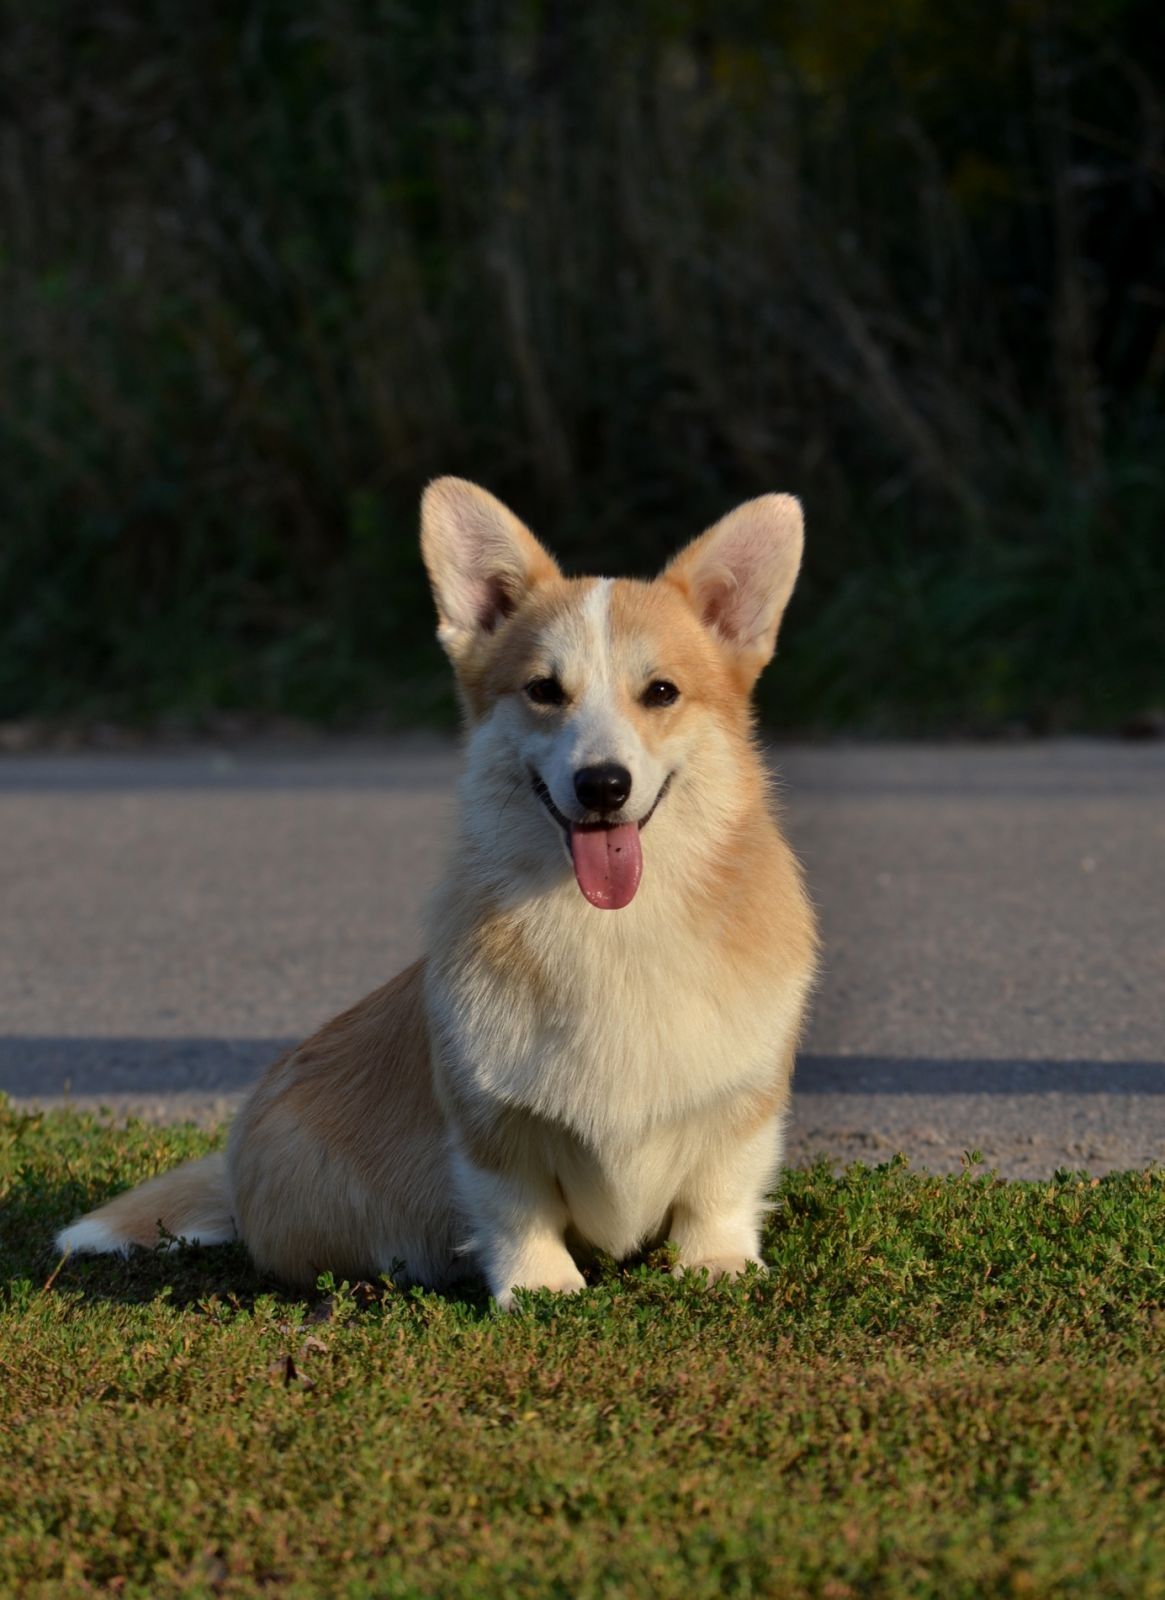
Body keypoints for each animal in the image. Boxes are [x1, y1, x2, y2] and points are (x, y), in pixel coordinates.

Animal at [54, 480, 819, 1305]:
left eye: (662, 692)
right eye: (543, 691)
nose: (602, 785)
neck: (611, 927)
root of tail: (230, 1171)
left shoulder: (745, 1103)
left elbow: (721, 1186)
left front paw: (716, 1263)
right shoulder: (488, 1120)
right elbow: (514, 1206)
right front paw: (539, 1287)